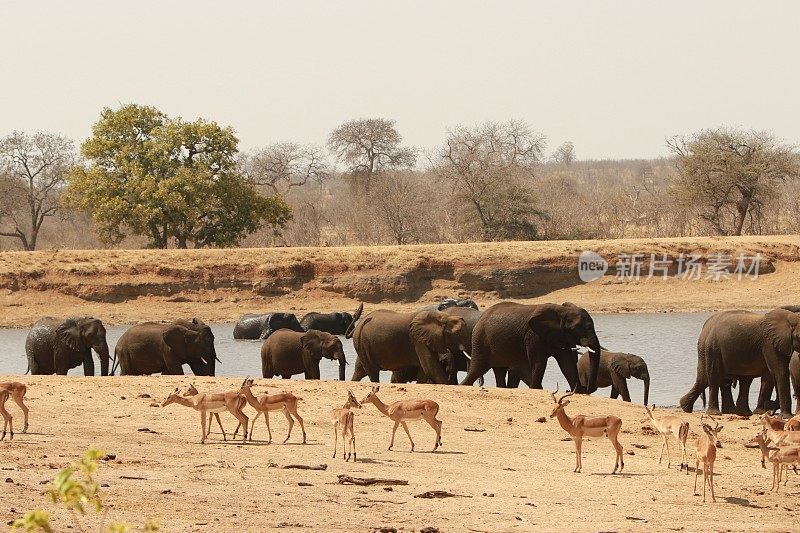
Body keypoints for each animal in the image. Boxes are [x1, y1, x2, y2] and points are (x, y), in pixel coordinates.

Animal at [456, 302, 600, 392]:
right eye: (577, 328)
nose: (586, 388)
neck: (561, 311)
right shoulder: (533, 335)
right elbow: (539, 362)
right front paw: (536, 388)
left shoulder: (559, 336)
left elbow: (567, 363)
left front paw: (577, 392)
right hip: (480, 340)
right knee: (477, 369)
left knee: (498, 371)